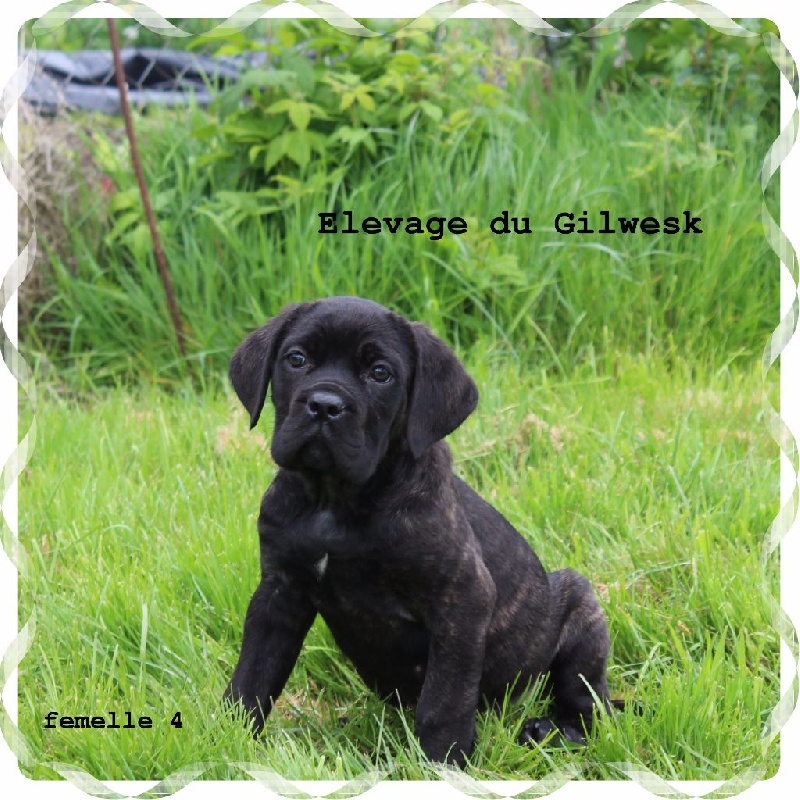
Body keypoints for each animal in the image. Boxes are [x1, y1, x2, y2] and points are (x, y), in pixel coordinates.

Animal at [224, 296, 621, 766]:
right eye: (297, 359)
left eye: (380, 373)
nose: (324, 405)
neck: (334, 501)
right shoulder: (279, 593)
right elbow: (254, 673)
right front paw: (224, 737)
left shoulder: (461, 601)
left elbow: (444, 698)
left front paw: (441, 761)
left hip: (581, 614)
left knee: (589, 705)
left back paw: (553, 730)